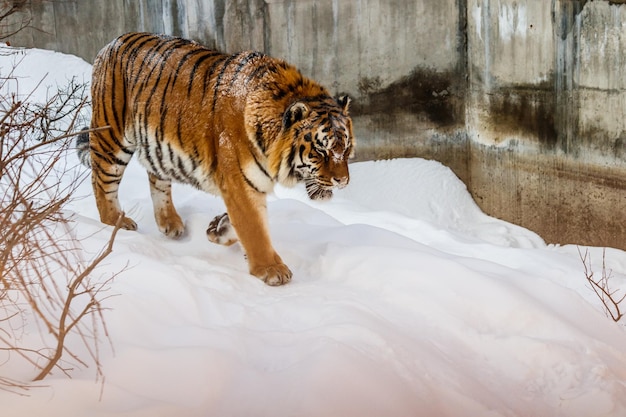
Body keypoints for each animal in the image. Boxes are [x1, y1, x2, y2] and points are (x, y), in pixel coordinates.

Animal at [75, 32, 354, 286]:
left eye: (346, 148)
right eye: (320, 151)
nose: (343, 181)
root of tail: (111, 43)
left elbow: (242, 225)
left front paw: (217, 229)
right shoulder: (239, 184)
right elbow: (254, 229)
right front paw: (272, 270)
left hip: (156, 145)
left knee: (157, 179)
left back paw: (170, 223)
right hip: (111, 137)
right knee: (102, 182)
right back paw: (116, 223)